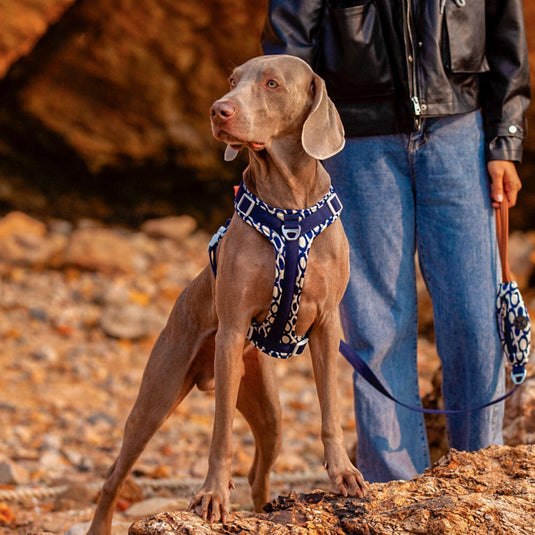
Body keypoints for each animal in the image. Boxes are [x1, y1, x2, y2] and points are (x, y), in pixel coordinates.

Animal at [87, 54, 368, 535]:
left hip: (267, 407)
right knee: (113, 476)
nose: (218, 110)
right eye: (232, 80)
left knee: (260, 468)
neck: (288, 208)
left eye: (272, 84)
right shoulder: (233, 330)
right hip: (161, 392)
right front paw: (213, 495)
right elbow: (220, 434)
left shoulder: (328, 325)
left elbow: (331, 410)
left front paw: (343, 472)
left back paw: (267, 510)